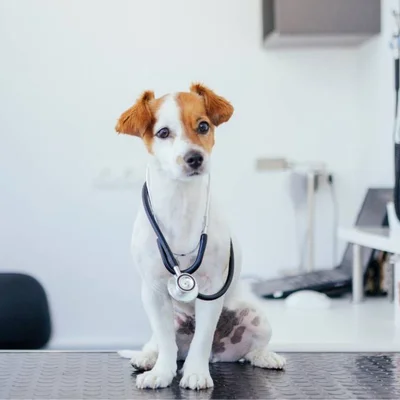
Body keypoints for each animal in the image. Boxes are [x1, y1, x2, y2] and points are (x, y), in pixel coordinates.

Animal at [116, 83, 286, 390]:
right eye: (163, 132)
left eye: (203, 126)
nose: (194, 157)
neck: (180, 202)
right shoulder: (154, 290)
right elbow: (166, 343)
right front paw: (161, 372)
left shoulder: (211, 287)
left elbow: (202, 339)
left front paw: (195, 372)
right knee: (158, 342)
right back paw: (146, 357)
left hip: (256, 317)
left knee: (251, 349)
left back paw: (265, 356)